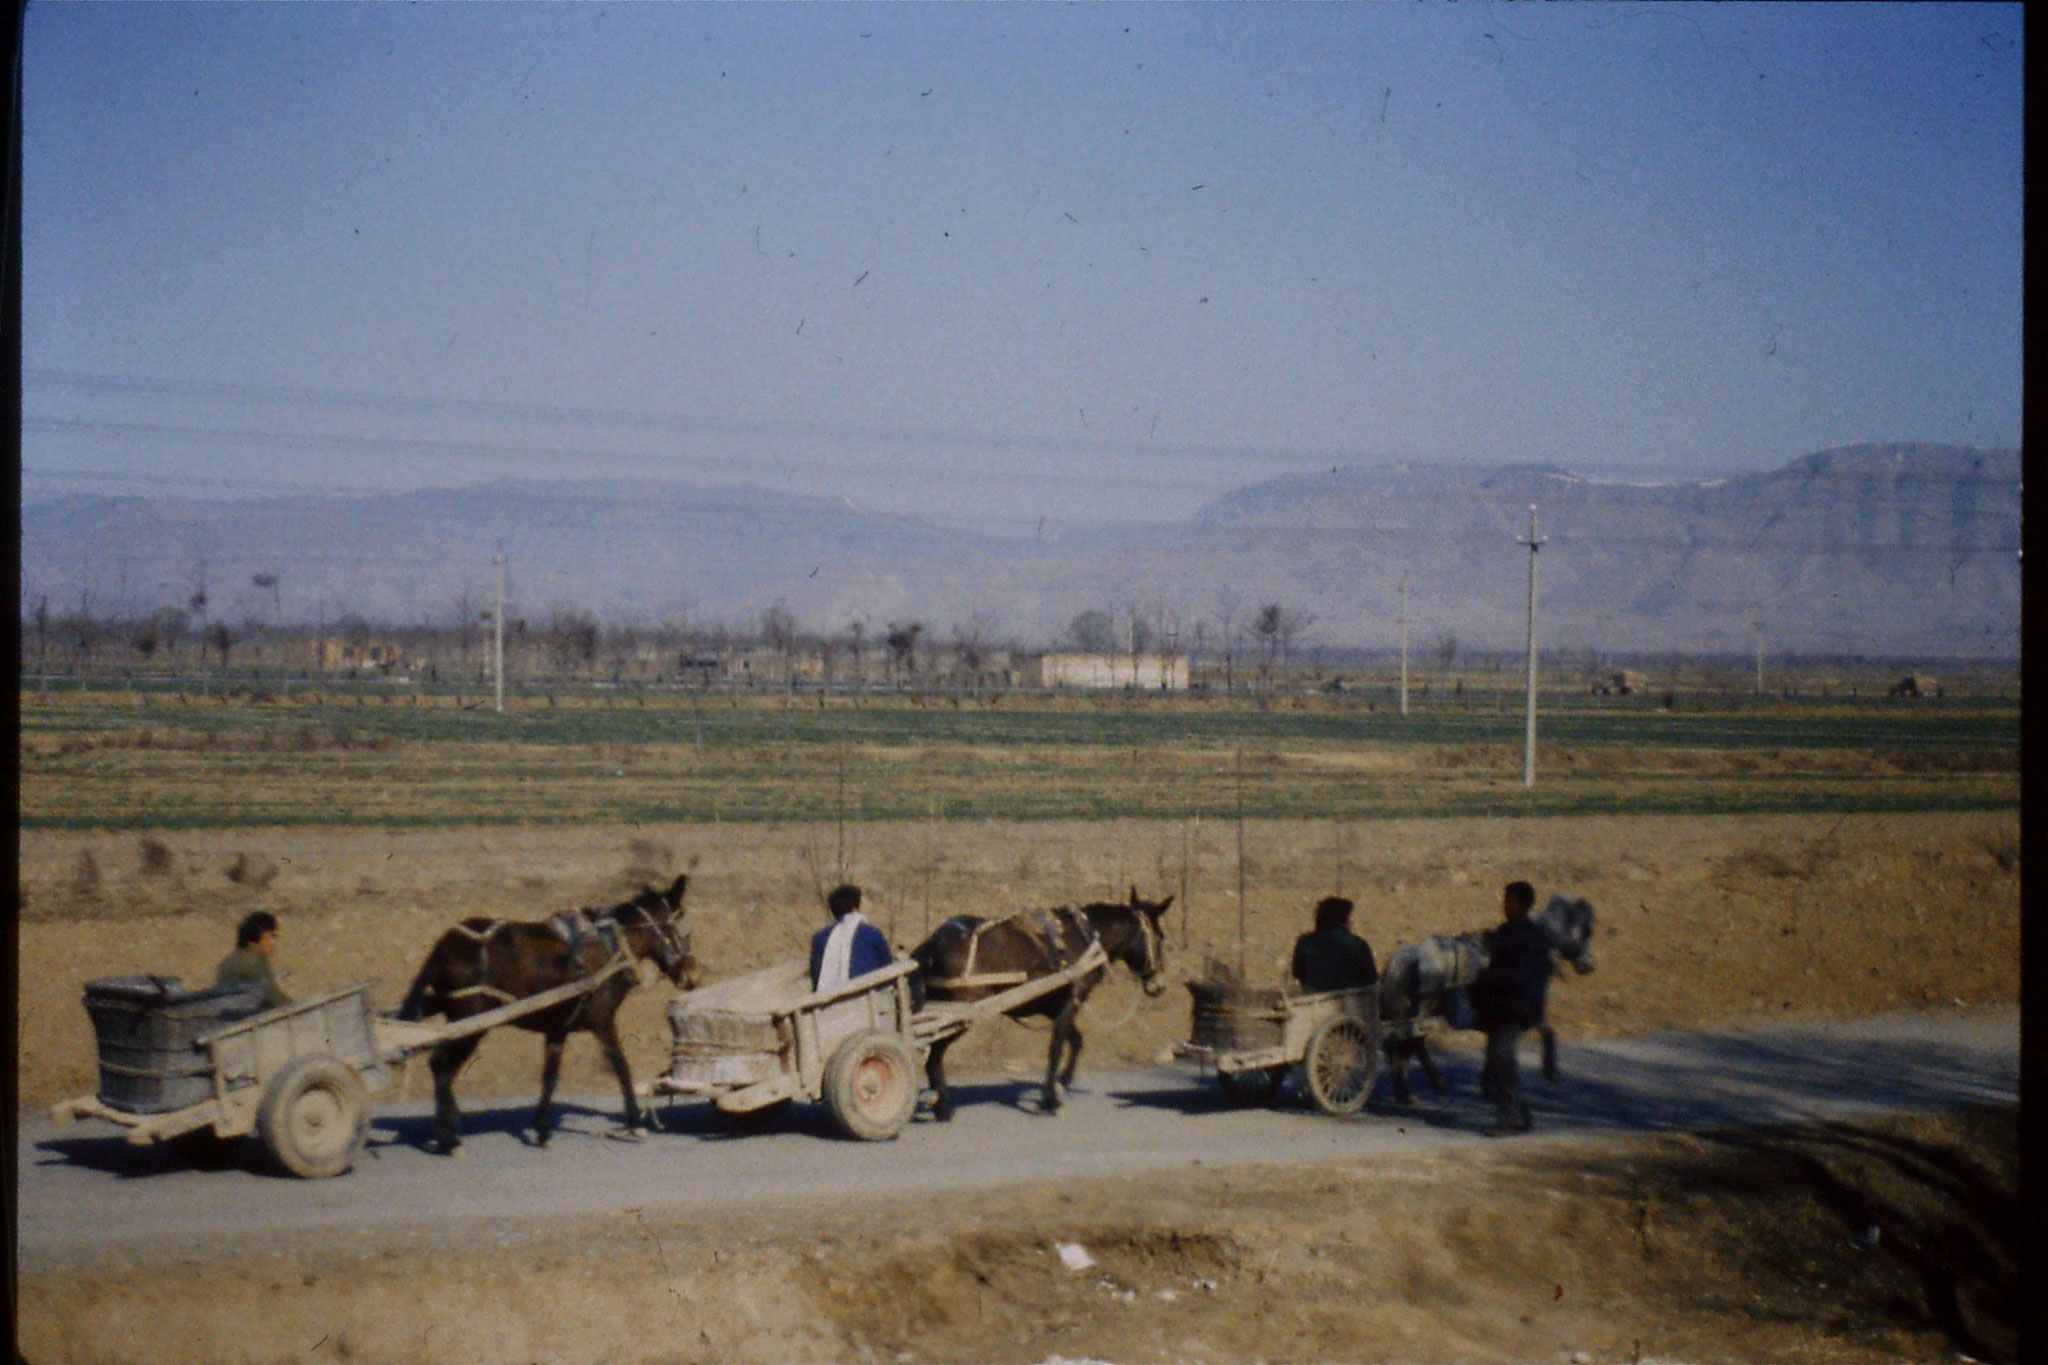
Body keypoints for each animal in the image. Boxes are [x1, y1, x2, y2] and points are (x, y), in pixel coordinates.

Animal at [399, 875, 704, 1154]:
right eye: (684, 932)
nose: (693, 976)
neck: (612, 947)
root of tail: (446, 943)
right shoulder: (602, 1022)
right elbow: (621, 1067)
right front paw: (635, 1123)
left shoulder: (557, 1030)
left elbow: (550, 1078)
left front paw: (543, 1131)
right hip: (470, 1021)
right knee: (441, 1066)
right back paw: (448, 1139)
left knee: (441, 1067)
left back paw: (450, 1133)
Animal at [913, 896, 1171, 1121]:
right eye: (1160, 937)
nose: (1158, 985)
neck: (1085, 937)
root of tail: (933, 943)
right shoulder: (1069, 1003)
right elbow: (1056, 1047)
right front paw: (1049, 1100)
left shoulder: (1053, 1007)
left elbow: (1076, 1040)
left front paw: (1063, 1082)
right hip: (959, 1012)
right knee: (933, 1055)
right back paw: (942, 1107)